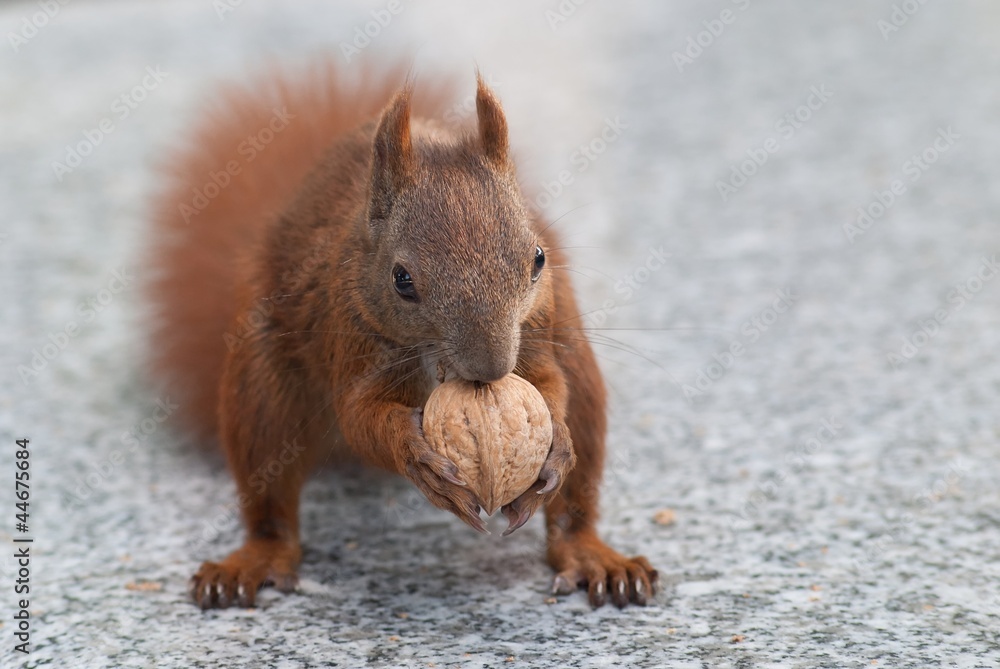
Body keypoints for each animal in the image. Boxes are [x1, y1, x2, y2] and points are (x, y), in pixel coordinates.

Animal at [147, 58, 658, 610]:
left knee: (575, 471)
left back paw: (590, 553)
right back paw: (255, 558)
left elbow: (549, 385)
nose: (492, 370)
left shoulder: (539, 331)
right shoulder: (351, 329)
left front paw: (556, 440)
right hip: (260, 391)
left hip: (581, 368)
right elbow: (360, 417)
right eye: (402, 280)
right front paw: (414, 454)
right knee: (270, 498)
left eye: (538, 258)